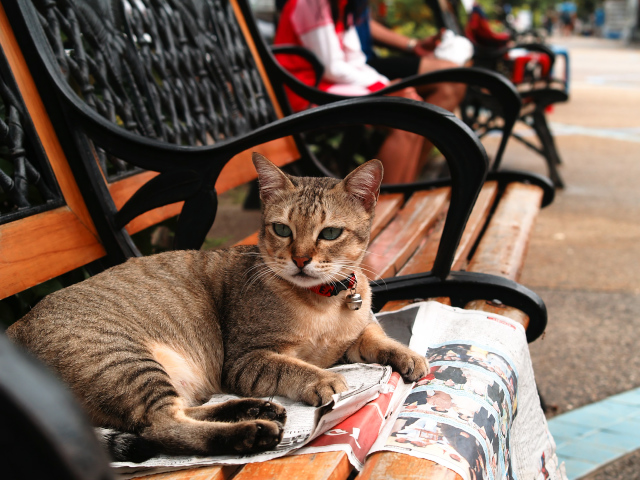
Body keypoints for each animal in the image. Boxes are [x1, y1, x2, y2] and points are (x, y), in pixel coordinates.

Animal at [7, 154, 428, 462]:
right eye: (282, 230)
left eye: (330, 233)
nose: (300, 259)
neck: (323, 302)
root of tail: (14, 328)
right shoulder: (245, 359)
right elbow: (292, 366)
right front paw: (323, 380)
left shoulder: (354, 336)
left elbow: (376, 337)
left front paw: (407, 355)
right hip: (126, 362)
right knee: (160, 425)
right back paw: (251, 431)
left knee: (176, 414)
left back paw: (256, 411)